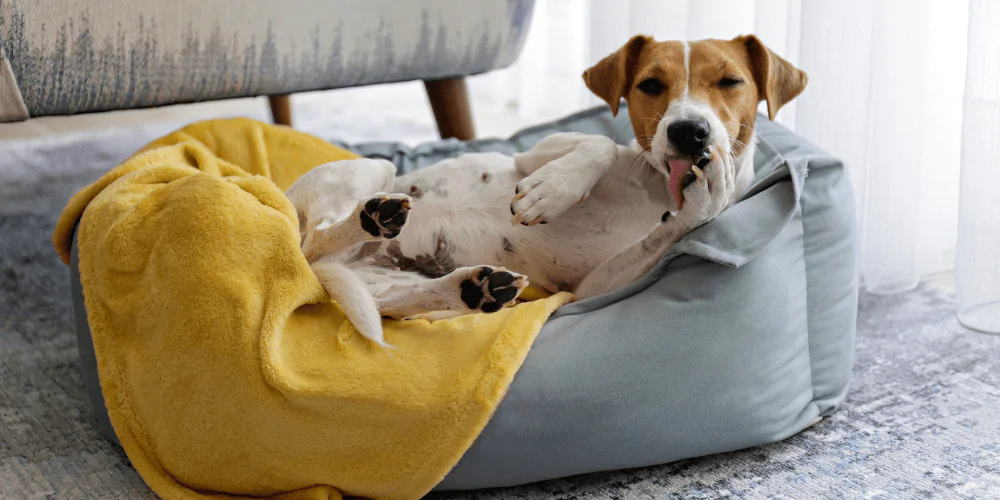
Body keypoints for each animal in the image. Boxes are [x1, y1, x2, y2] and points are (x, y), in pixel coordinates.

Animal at [286, 33, 808, 342]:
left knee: (391, 300)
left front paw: (704, 200)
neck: (659, 190)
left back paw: (472, 288)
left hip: (392, 279)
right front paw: (550, 192)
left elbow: (680, 224)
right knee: (318, 236)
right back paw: (373, 218)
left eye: (730, 81)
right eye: (650, 85)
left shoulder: (595, 285)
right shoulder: (536, 154)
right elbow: (598, 142)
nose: (689, 132)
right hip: (370, 172)